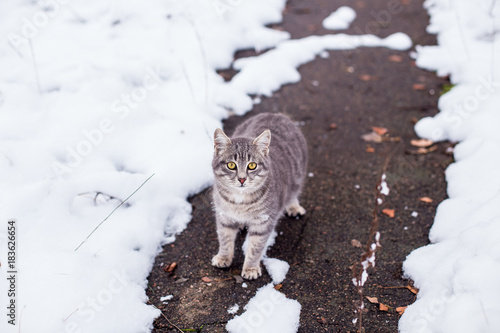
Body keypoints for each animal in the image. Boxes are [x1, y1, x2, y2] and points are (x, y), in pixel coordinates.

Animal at [210, 113, 306, 278]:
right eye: (231, 165)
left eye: (252, 165)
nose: (242, 179)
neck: (240, 201)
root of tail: (277, 114)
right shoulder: (224, 216)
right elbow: (225, 239)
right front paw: (223, 257)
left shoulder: (263, 222)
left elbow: (255, 248)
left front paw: (250, 268)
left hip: (297, 179)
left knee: (293, 194)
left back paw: (293, 206)